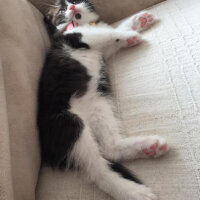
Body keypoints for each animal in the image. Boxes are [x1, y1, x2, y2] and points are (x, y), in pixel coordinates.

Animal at [37, 0, 169, 199]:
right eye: (61, 10)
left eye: (73, 1)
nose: (72, 8)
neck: (81, 24)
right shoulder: (77, 37)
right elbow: (106, 32)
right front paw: (130, 34)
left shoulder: (102, 51)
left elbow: (110, 35)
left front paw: (138, 22)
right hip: (70, 125)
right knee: (98, 170)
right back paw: (133, 191)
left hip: (98, 104)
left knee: (110, 148)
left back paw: (148, 147)